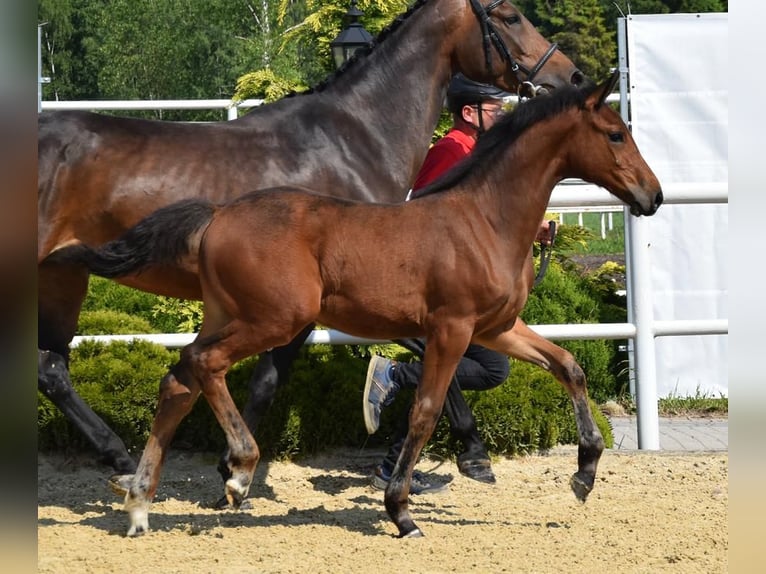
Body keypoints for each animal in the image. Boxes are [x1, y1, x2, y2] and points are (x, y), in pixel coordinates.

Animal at [36, 0, 584, 490]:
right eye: (510, 15)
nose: (573, 77)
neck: (353, 139)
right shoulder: (346, 299)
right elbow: (270, 380)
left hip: (64, 274)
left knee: (52, 369)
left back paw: (122, 460)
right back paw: (127, 463)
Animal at [51, 73, 664, 540]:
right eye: (615, 133)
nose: (653, 196)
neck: (483, 220)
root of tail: (218, 215)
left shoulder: (498, 328)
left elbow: (570, 366)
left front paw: (585, 472)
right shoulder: (452, 328)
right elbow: (425, 411)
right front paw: (401, 512)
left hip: (231, 314)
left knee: (180, 379)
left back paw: (139, 503)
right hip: (275, 319)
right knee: (204, 365)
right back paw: (237, 473)